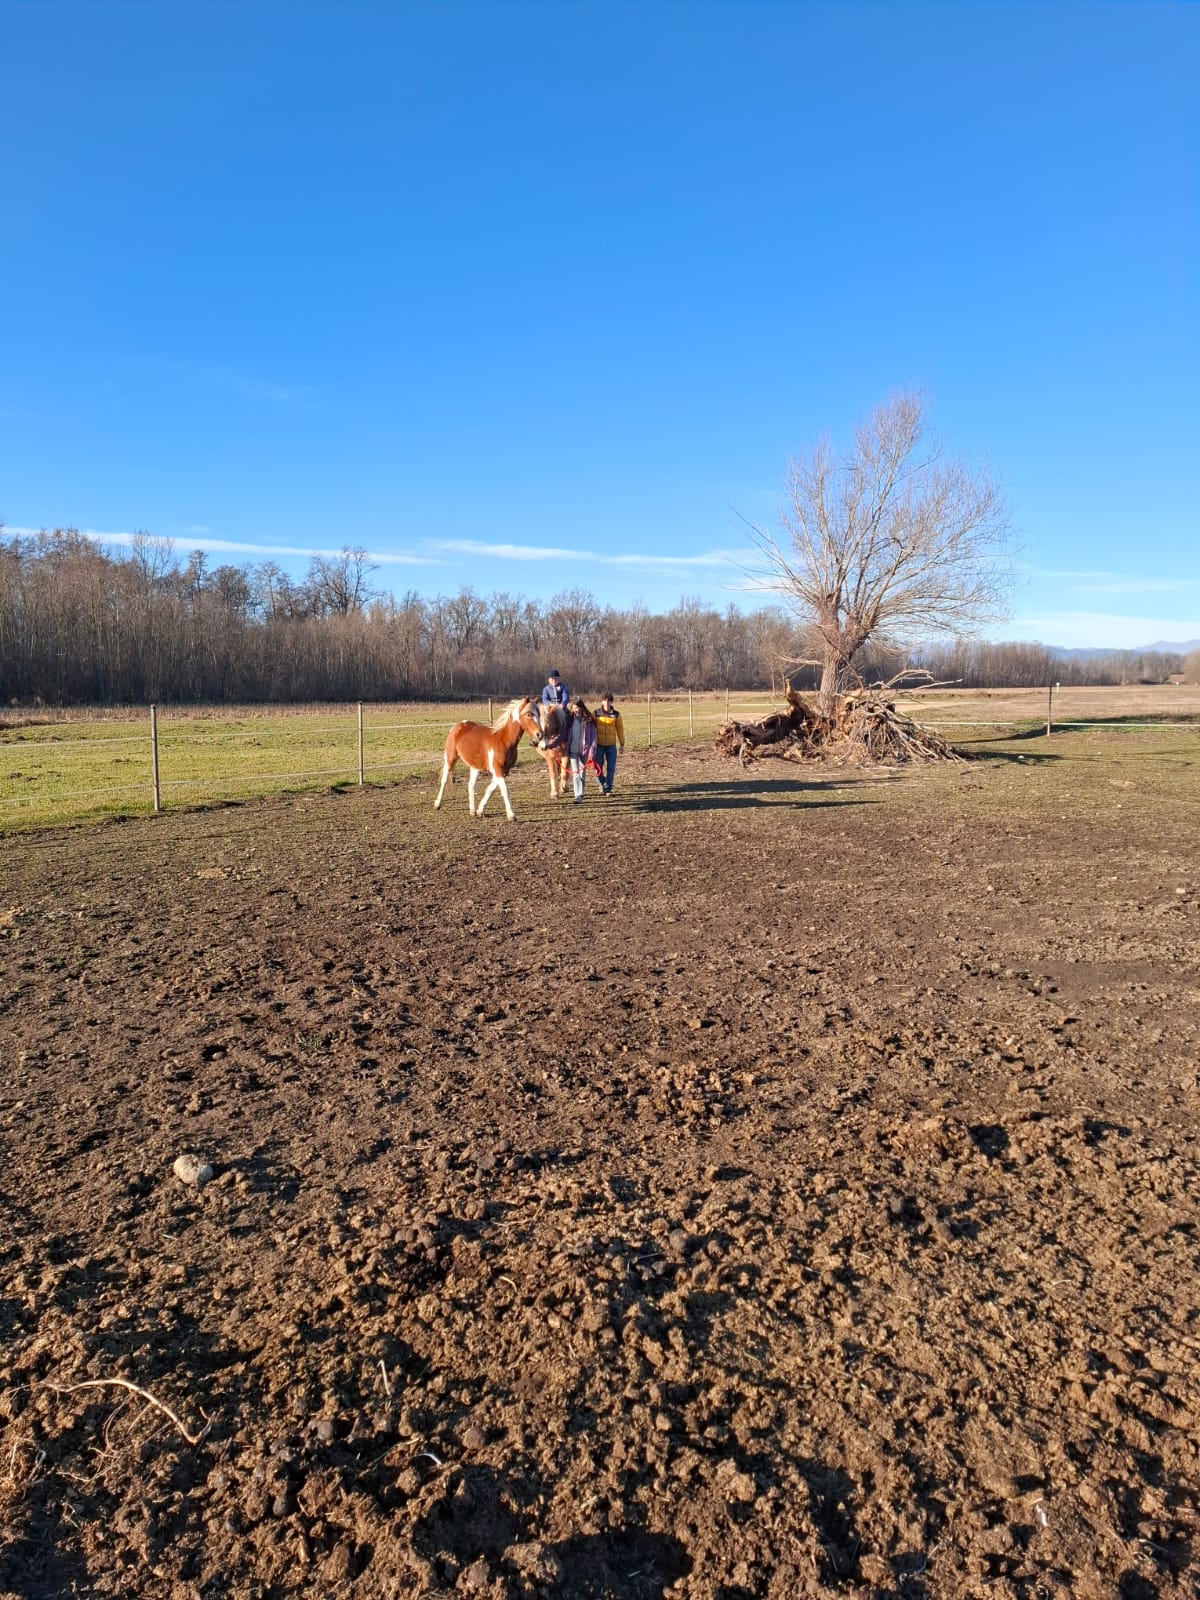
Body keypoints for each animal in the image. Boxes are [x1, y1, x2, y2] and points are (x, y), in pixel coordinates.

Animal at [435, 697, 544, 825]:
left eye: (539, 714)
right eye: (529, 714)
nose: (540, 734)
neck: (503, 740)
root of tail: (457, 725)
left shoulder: (504, 770)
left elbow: (491, 789)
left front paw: (480, 811)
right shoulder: (497, 769)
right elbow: (504, 790)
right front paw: (511, 815)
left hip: (475, 766)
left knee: (471, 785)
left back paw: (472, 811)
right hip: (450, 758)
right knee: (444, 780)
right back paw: (437, 804)